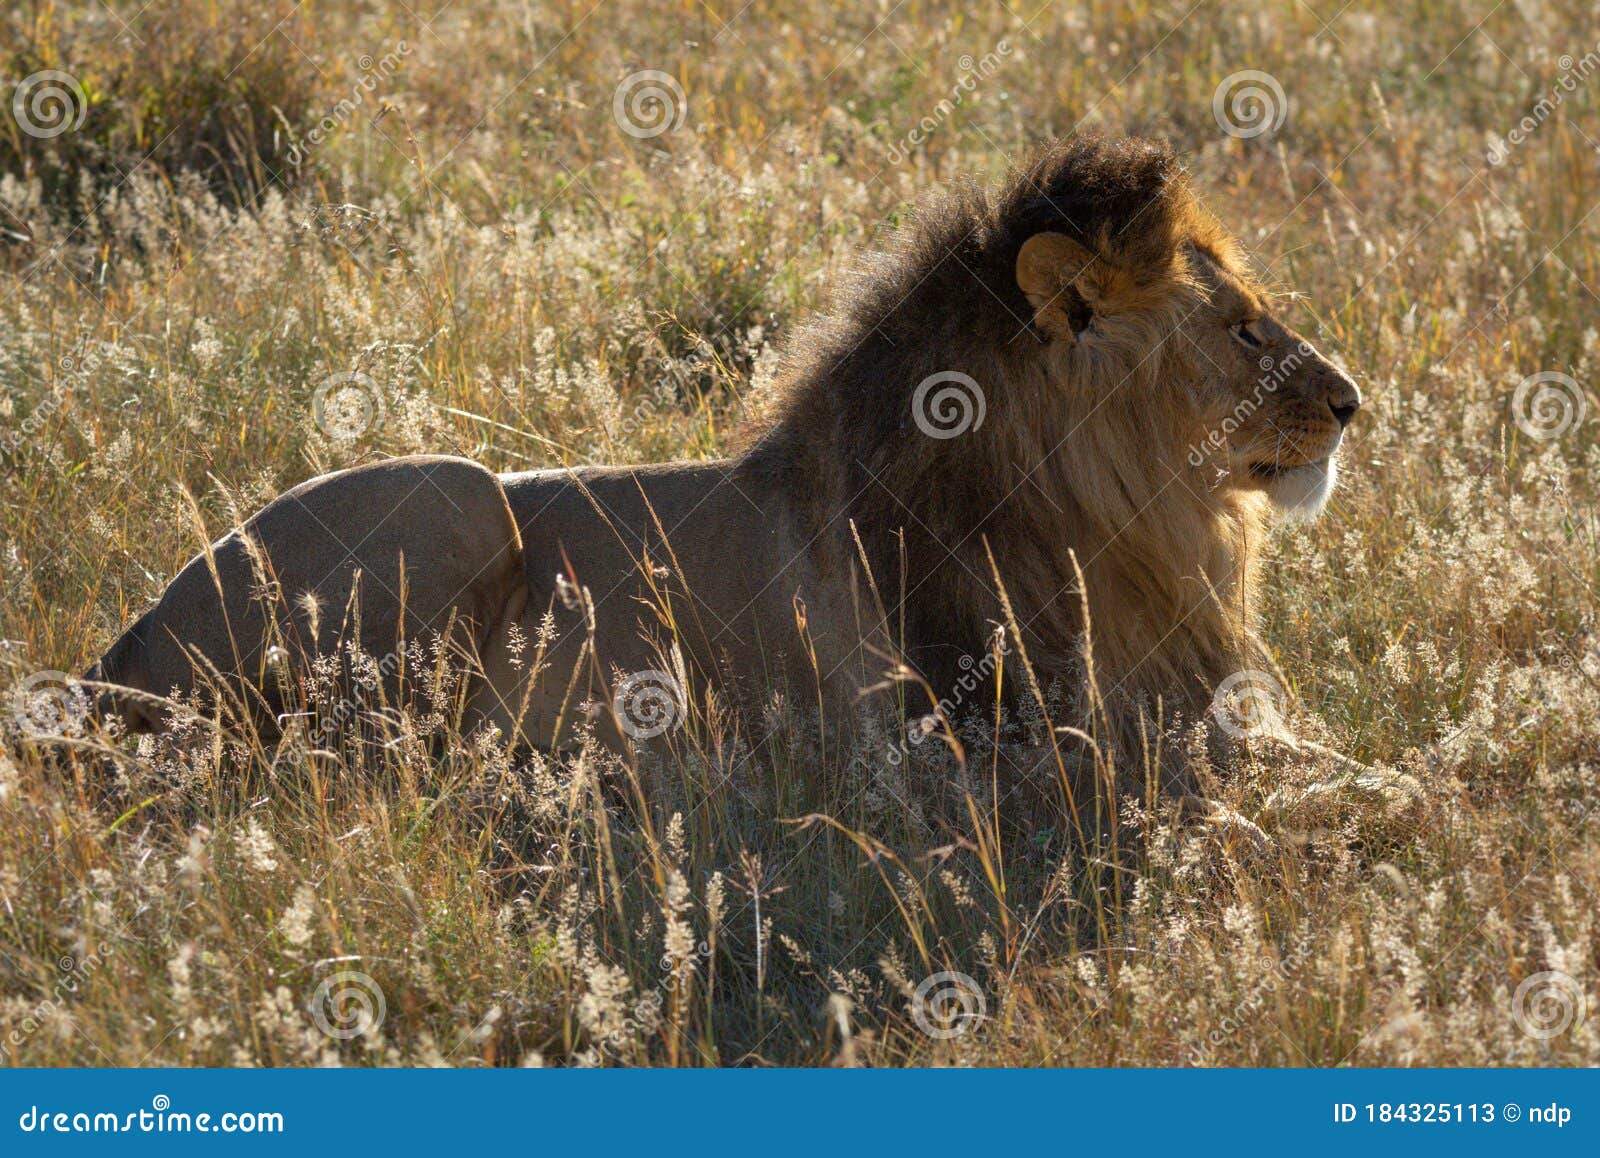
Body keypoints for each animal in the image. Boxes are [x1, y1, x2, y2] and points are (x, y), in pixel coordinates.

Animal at [84, 133, 1363, 806]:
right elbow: (1329, 784)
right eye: (1246, 329)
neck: (1139, 519)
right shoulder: (1001, 742)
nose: (1355, 402)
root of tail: (113, 660)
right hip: (451, 492)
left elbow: (1345, 759)